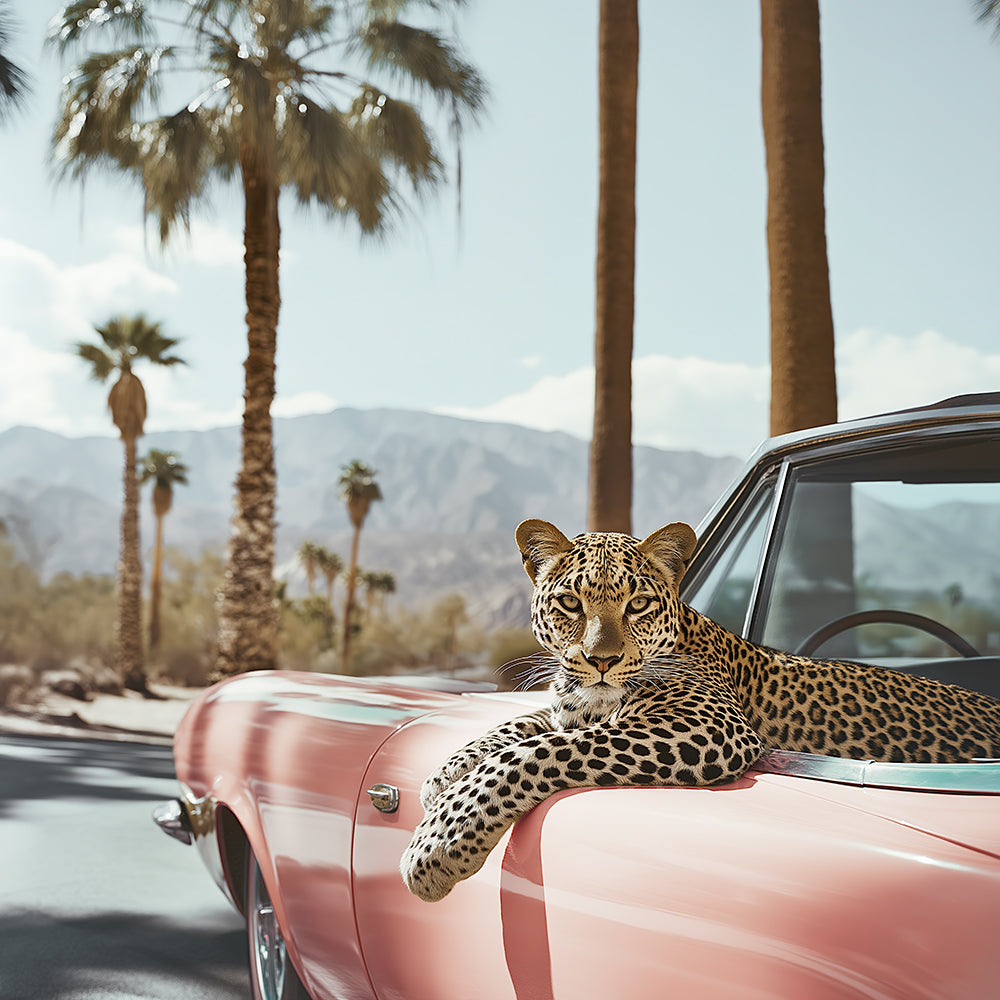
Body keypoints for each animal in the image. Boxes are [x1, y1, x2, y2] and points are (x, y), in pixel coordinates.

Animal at [401, 518, 1000, 902]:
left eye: (637, 604)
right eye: (570, 602)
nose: (601, 659)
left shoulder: (707, 725)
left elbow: (538, 751)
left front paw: (436, 844)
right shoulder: (573, 705)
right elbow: (519, 725)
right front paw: (444, 775)